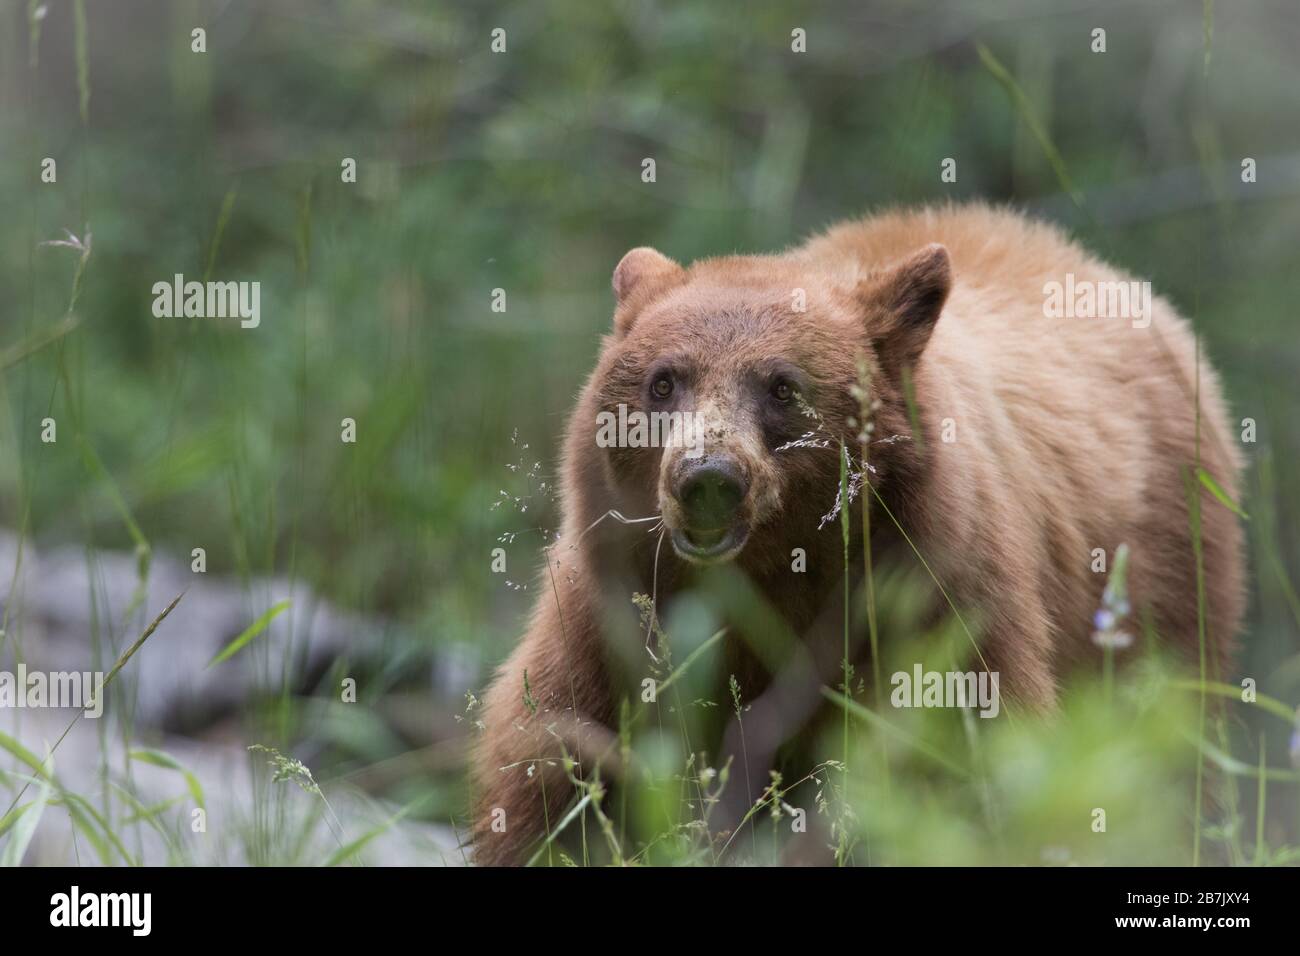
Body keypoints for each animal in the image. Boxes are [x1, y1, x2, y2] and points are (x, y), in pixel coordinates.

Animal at [471, 202, 1244, 866]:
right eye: (664, 381)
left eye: (782, 386)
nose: (708, 478)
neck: (773, 574)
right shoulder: (615, 620)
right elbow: (559, 772)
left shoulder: (936, 593)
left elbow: (965, 756)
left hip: (1164, 583)